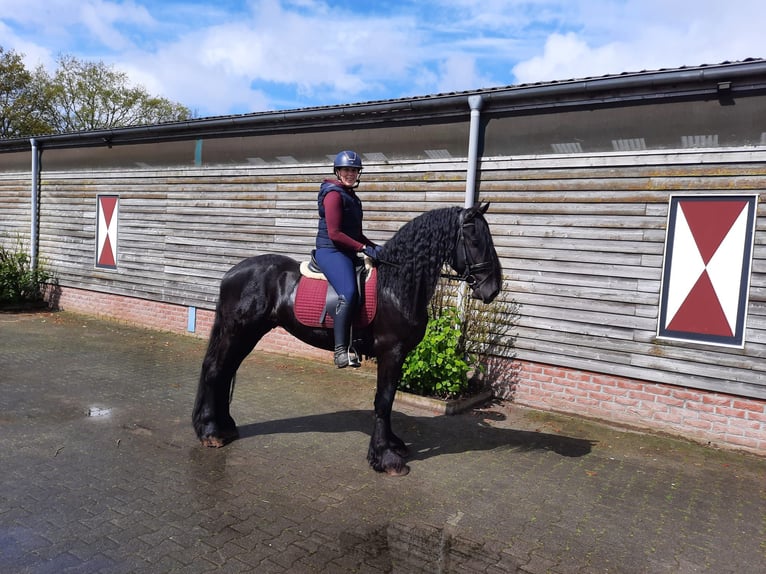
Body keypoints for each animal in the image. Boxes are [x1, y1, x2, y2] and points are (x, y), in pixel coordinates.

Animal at [192, 202, 504, 476]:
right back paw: (211, 432)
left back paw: (224, 427)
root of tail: (231, 273)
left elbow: (387, 400)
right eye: (474, 238)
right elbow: (383, 401)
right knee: (216, 371)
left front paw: (392, 445)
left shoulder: (398, 355)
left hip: (248, 333)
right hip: (239, 331)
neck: (395, 286)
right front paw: (385, 458)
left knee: (224, 373)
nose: (492, 289)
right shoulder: (391, 352)